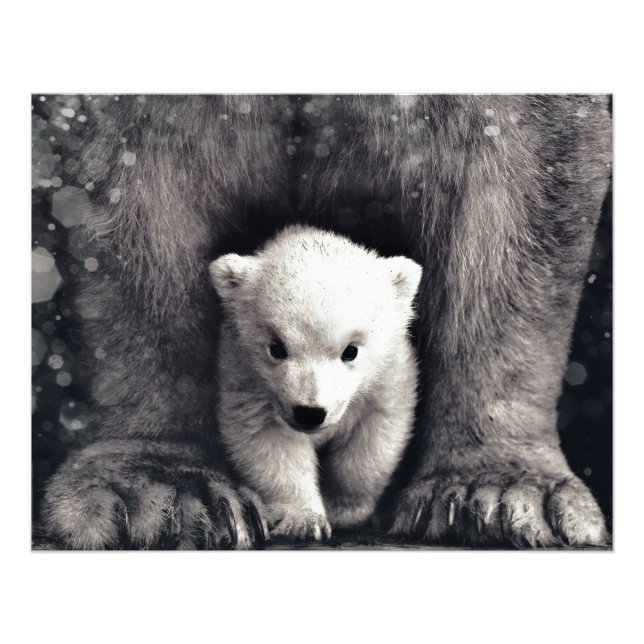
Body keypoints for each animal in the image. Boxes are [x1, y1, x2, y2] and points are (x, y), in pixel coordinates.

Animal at [209, 225, 421, 540]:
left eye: (350, 351)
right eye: (277, 348)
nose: (309, 413)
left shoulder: (388, 376)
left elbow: (373, 437)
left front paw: (345, 510)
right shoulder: (247, 378)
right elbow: (270, 440)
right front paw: (304, 520)